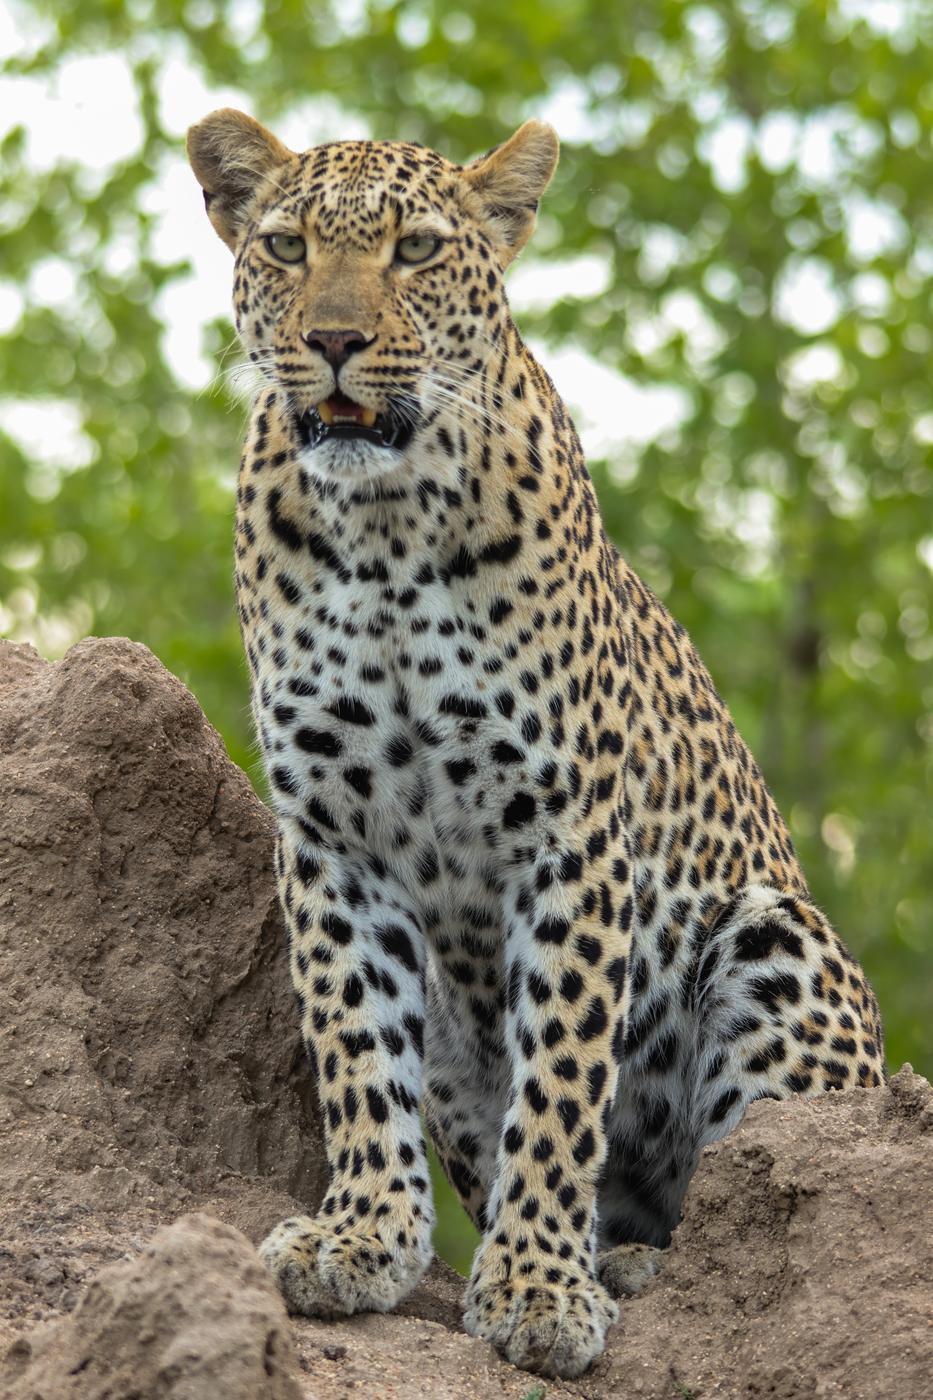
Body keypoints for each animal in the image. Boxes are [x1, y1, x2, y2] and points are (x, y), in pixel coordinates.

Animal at [186, 108, 885, 1380]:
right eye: (285, 245)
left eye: (415, 248)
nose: (334, 339)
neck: (385, 527)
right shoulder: (330, 838)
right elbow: (356, 1045)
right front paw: (362, 1235)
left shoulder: (570, 839)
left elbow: (562, 1075)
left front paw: (539, 1286)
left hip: (775, 934)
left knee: (749, 1188)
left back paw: (644, 1265)